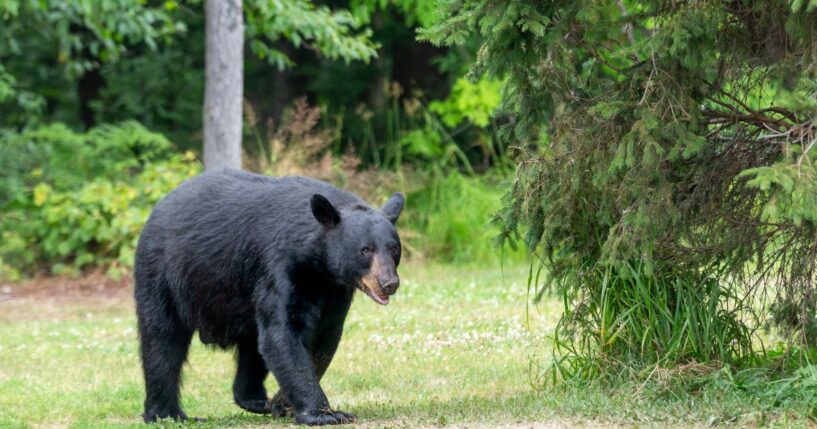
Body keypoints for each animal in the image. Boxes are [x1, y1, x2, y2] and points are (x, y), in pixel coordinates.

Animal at [133, 169, 403, 425]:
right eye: (365, 249)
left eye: (394, 249)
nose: (389, 283)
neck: (318, 267)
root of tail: (157, 209)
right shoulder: (280, 266)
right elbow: (282, 333)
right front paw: (324, 413)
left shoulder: (334, 291)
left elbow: (323, 338)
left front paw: (283, 404)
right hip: (162, 276)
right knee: (162, 341)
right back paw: (166, 413)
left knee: (252, 349)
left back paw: (257, 400)